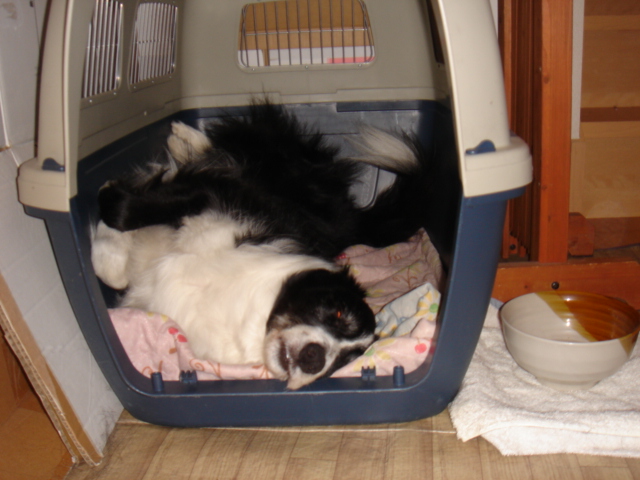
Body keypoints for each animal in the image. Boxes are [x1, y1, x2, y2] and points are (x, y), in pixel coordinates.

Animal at [91, 102, 430, 389]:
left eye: (348, 359)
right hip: (276, 163)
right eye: (337, 313)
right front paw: (109, 198)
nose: (315, 358)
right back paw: (186, 138)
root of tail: (351, 217)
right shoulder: (218, 192)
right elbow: (120, 221)